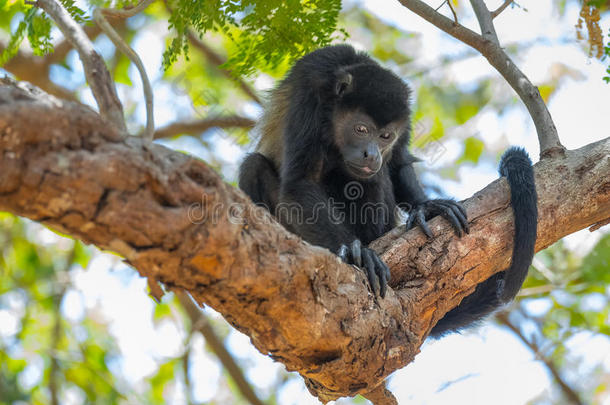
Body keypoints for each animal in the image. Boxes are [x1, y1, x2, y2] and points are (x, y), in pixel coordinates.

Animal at [238, 43, 536, 334]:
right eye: (360, 129)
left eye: (385, 136)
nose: (371, 154)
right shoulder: (309, 94)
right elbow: (300, 182)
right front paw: (355, 253)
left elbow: (398, 162)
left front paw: (427, 207)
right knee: (253, 166)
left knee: (374, 178)